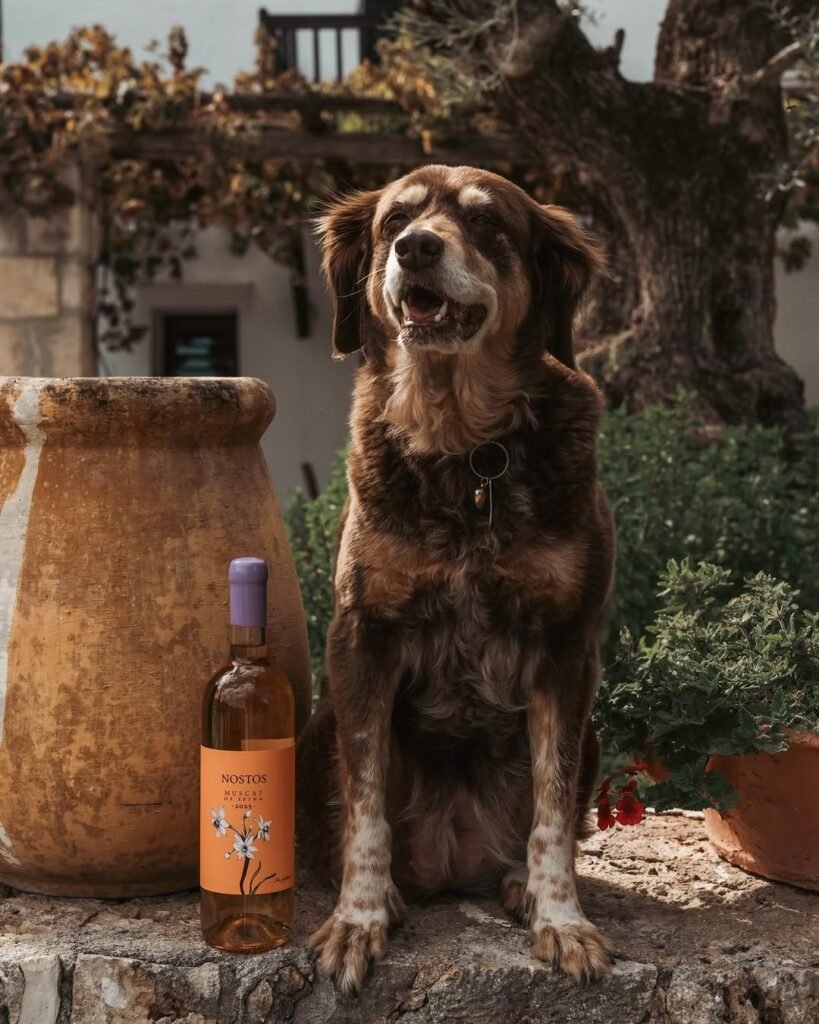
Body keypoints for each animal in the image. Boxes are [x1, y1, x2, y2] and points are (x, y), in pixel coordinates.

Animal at [298, 165, 614, 991]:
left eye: (486, 223)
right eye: (393, 220)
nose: (415, 248)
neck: (464, 450)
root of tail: (449, 863)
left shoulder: (567, 648)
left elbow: (550, 809)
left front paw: (561, 920)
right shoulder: (360, 638)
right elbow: (365, 807)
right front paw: (358, 920)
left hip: (596, 734)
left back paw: (516, 884)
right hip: (316, 728)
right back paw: (395, 893)